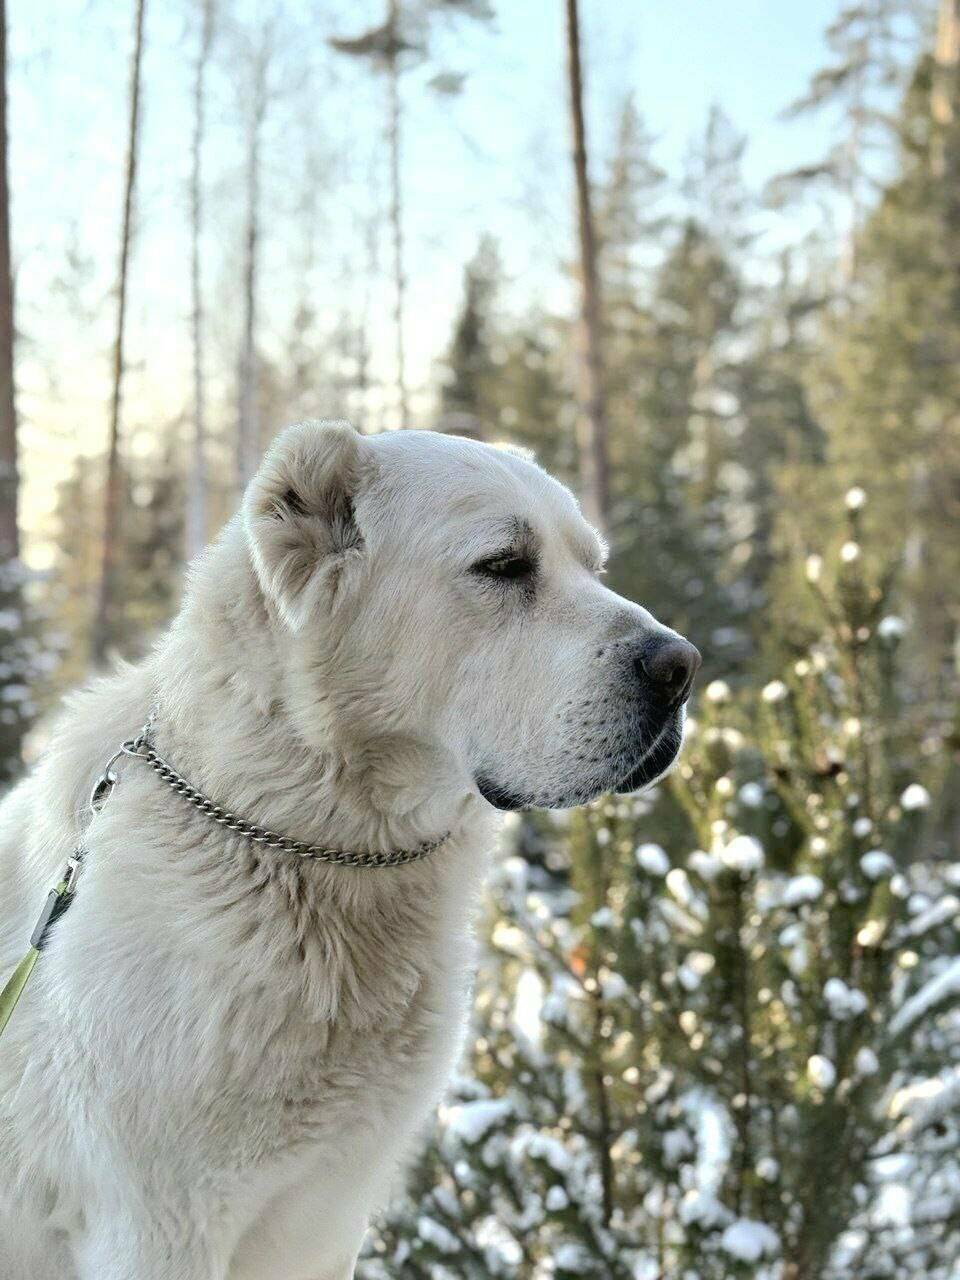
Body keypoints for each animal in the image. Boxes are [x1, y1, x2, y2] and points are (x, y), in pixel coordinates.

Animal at [0, 424, 701, 1274]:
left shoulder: (328, 1222)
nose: (681, 667)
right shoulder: (156, 1228)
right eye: (504, 564)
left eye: (593, 566)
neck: (311, 850)